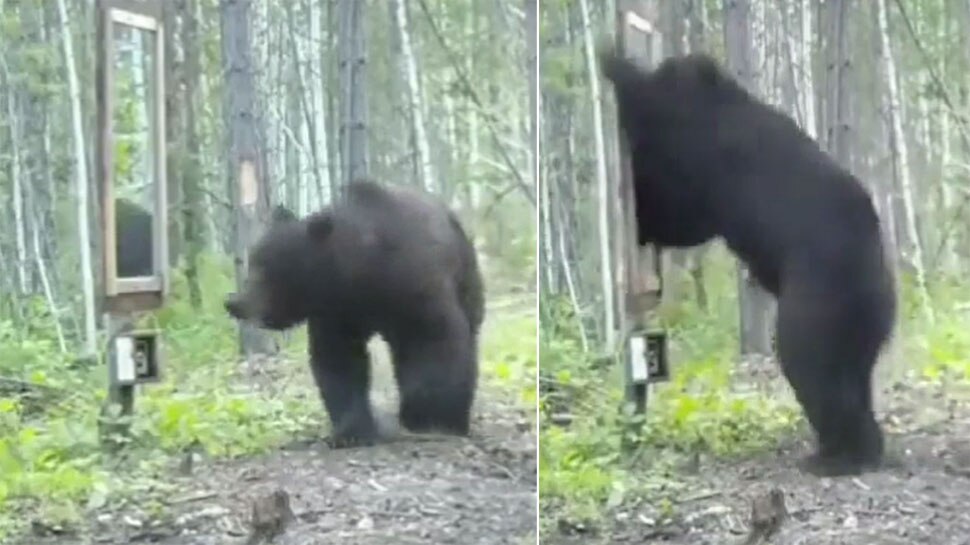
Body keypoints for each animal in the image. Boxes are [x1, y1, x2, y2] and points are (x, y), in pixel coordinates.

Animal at [224, 180, 485, 447]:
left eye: (265, 269)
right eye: (253, 263)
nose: (234, 303)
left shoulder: (413, 287)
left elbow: (435, 341)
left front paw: (434, 418)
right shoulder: (337, 312)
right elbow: (339, 359)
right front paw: (351, 431)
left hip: (466, 278)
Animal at [600, 50, 897, 477]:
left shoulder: (702, 158)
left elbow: (677, 209)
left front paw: (615, 62)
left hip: (816, 298)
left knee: (811, 365)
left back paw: (836, 455)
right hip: (866, 323)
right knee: (854, 374)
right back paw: (856, 448)